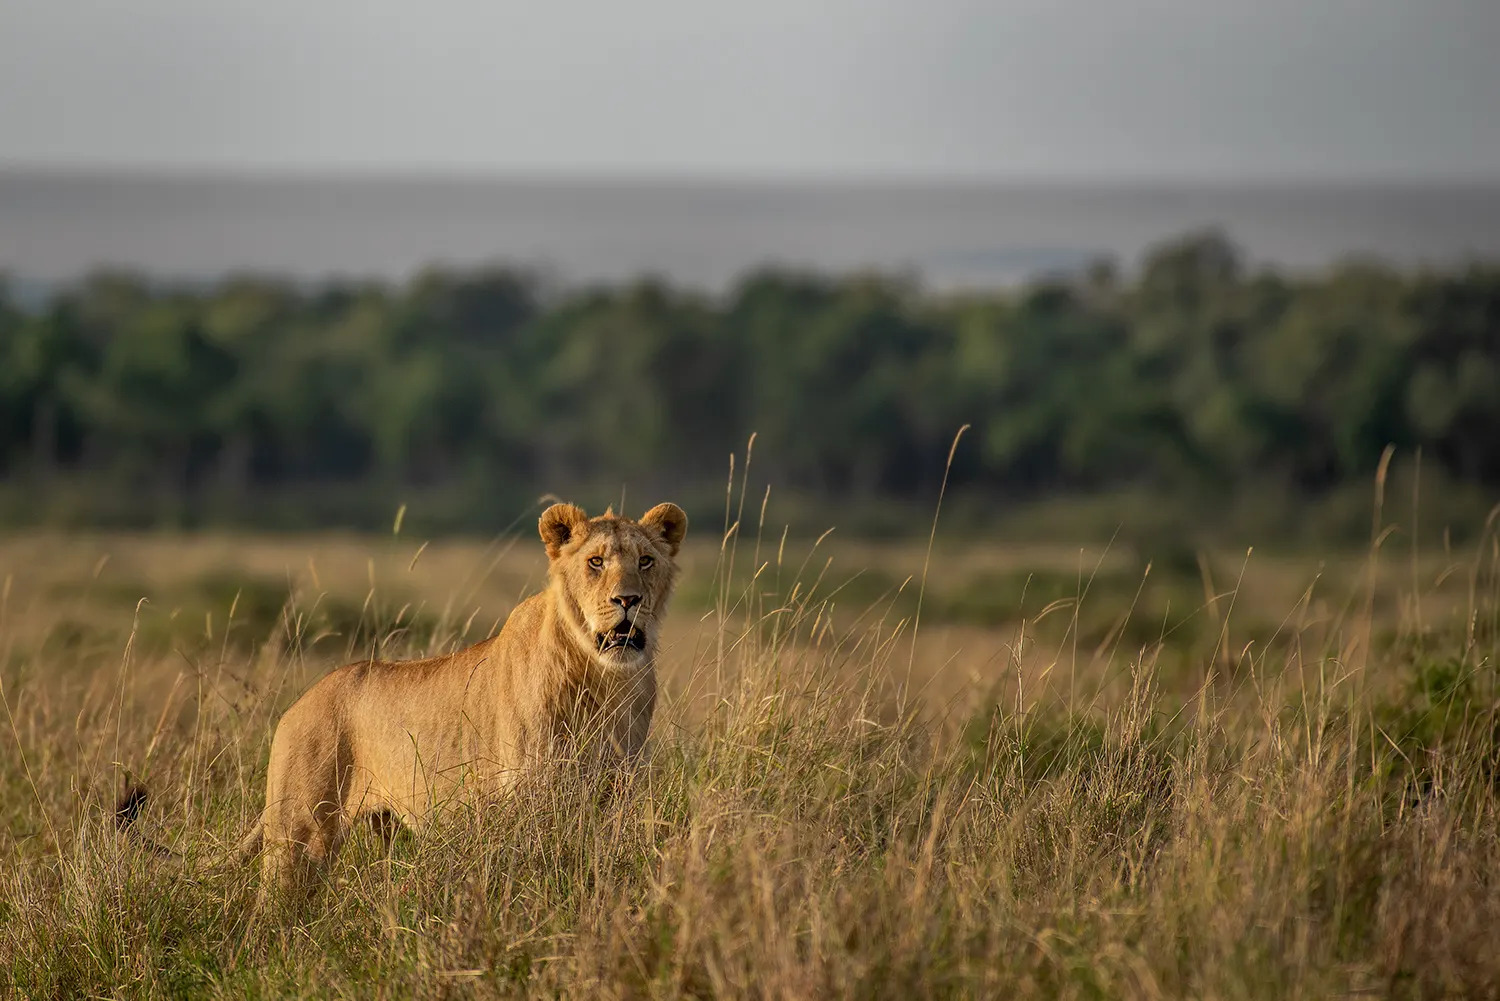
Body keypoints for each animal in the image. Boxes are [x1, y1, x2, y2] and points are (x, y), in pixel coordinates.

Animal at [118, 501, 690, 900]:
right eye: (595, 562)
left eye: (646, 561)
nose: (628, 600)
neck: (606, 682)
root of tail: (297, 705)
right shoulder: (527, 800)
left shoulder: (614, 796)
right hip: (298, 831)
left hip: (381, 828)